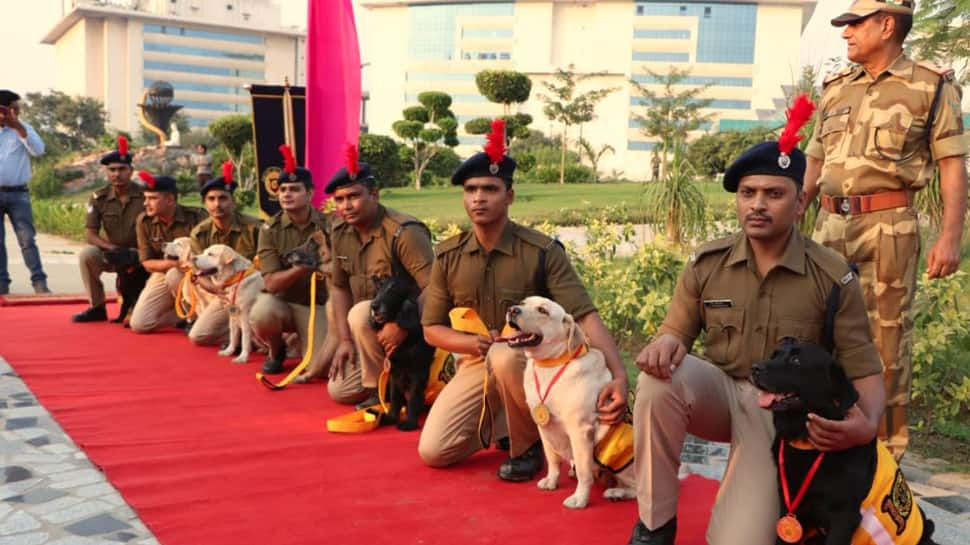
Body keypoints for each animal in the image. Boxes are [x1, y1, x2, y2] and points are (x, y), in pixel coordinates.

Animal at [368, 274, 432, 432]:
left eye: (392, 290)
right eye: (378, 288)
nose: (374, 306)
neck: (405, 341)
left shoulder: (418, 373)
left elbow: (414, 399)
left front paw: (410, 422)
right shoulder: (394, 372)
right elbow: (395, 398)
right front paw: (391, 418)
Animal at [506, 296, 636, 508]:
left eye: (543, 310)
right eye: (523, 303)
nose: (512, 310)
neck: (550, 364)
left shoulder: (580, 430)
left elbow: (584, 471)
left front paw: (580, 499)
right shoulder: (544, 427)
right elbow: (552, 459)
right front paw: (552, 481)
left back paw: (616, 492)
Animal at [748, 340, 932, 544]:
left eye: (796, 360)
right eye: (774, 355)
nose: (755, 368)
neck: (805, 443)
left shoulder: (843, 517)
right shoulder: (788, 508)